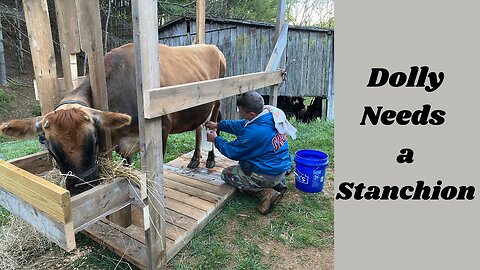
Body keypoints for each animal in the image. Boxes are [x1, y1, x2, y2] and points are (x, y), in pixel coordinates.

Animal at [0, 44, 226, 195]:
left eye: (93, 141)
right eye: (49, 148)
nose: (82, 187)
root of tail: (212, 46)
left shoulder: (162, 128)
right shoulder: (123, 142)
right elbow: (128, 165)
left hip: (217, 100)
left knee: (212, 126)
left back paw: (209, 159)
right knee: (199, 127)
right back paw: (194, 160)